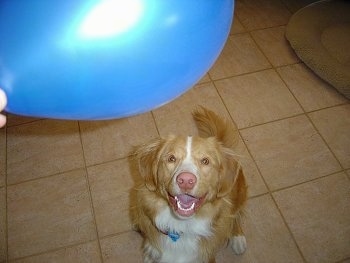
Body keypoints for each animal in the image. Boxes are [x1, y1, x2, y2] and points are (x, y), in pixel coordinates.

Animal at [130, 107, 247, 263]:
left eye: (205, 161)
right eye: (171, 158)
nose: (186, 180)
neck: (181, 227)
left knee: (236, 215)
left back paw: (238, 238)